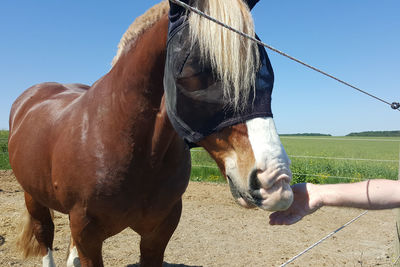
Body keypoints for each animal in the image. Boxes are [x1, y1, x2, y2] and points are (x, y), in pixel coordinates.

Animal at [7, 1, 292, 266]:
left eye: (265, 71)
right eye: (198, 71)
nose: (275, 182)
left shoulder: (157, 233)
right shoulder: (88, 235)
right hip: (34, 198)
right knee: (45, 236)